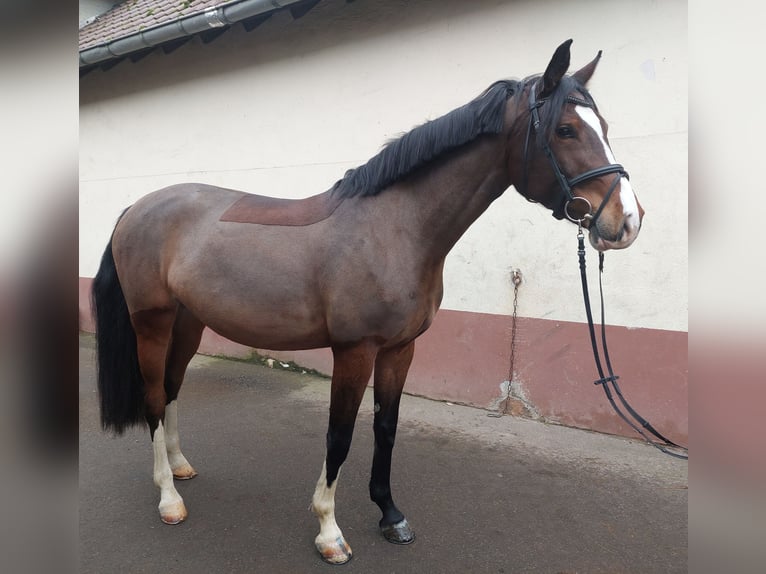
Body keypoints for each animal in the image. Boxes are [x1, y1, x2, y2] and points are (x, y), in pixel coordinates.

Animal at [91, 40, 648, 568]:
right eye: (566, 131)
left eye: (603, 126)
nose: (626, 221)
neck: (396, 228)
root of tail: (137, 207)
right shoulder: (354, 351)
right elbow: (339, 437)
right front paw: (329, 532)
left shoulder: (400, 350)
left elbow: (386, 427)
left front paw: (390, 514)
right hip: (152, 324)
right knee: (154, 398)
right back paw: (169, 499)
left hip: (188, 324)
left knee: (172, 389)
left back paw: (181, 467)